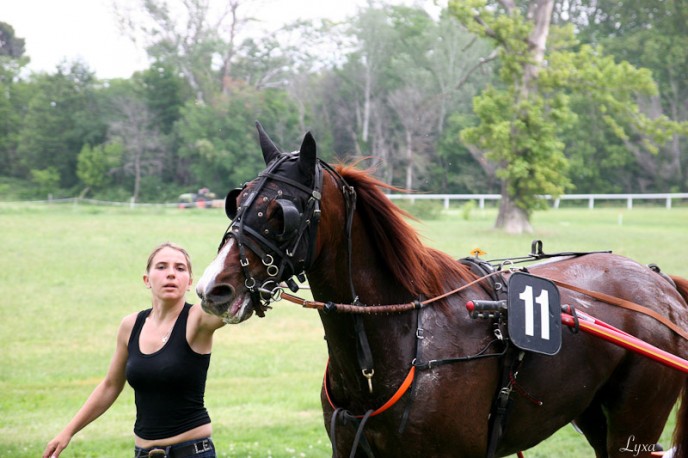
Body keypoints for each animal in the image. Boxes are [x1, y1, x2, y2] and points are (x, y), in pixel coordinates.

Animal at [196, 123, 688, 456]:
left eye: (280, 213)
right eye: (237, 201)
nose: (213, 289)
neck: (404, 339)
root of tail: (661, 282)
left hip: (635, 424)